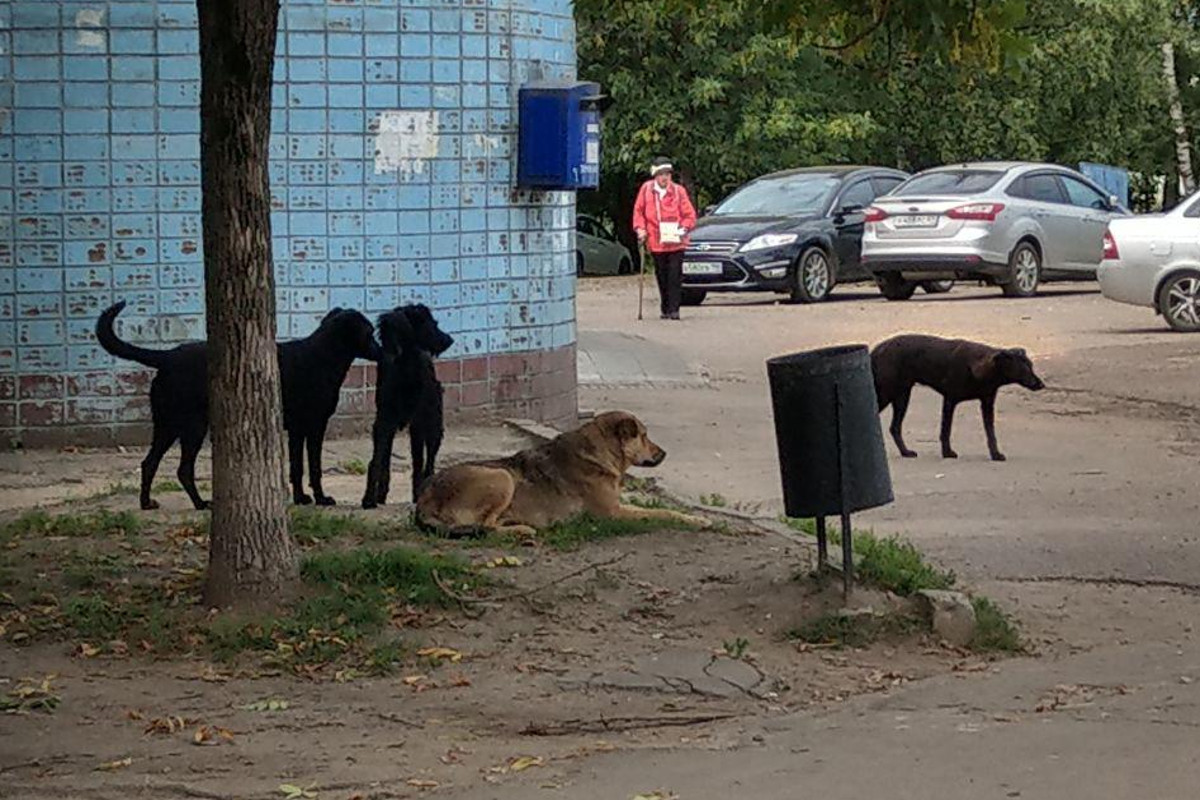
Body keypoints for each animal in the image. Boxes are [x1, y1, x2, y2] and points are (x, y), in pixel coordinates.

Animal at [360, 303, 453, 510]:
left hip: (428, 425)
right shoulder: (386, 423)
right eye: (433, 324)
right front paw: (370, 497)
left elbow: (415, 462)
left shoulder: (409, 424)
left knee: (426, 461)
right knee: (421, 461)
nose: (449, 340)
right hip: (431, 424)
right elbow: (378, 461)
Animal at [417, 410, 705, 534]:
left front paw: (696, 518)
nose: (664, 453)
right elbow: (661, 513)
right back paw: (522, 530)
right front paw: (696, 521)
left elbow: (665, 510)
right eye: (643, 436)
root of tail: (424, 500)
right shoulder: (613, 514)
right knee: (485, 527)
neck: (601, 452)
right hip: (502, 477)